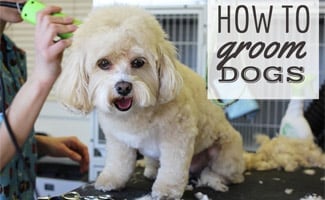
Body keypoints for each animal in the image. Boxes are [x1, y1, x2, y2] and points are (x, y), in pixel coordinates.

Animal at [56, 5, 243, 199]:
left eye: (138, 62)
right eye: (103, 63)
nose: (123, 87)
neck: (135, 114)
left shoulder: (178, 137)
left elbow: (173, 167)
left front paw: (167, 190)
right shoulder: (118, 139)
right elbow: (119, 163)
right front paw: (111, 180)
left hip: (226, 153)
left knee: (230, 174)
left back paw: (213, 178)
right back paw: (152, 170)